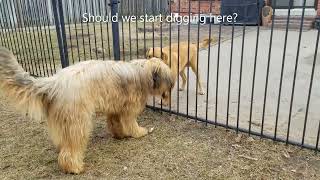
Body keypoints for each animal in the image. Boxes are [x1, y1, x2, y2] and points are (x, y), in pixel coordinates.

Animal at [0, 47, 175, 174]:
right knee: (71, 148)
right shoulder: (128, 108)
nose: (172, 86)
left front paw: (120, 135)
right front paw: (139, 132)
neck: (142, 71)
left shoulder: (115, 106)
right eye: (168, 78)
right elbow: (130, 122)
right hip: (78, 120)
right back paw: (74, 167)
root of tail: (53, 83)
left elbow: (115, 123)